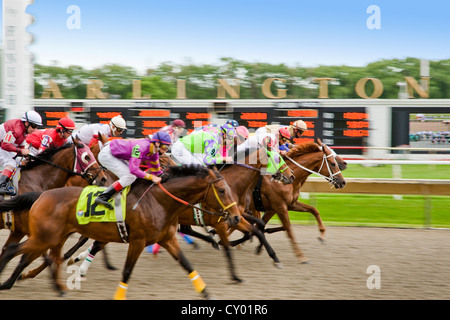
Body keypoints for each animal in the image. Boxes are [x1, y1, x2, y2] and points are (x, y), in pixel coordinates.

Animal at [0, 165, 243, 300]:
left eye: (229, 189)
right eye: (222, 190)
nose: (236, 217)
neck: (158, 201)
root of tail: (41, 195)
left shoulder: (167, 239)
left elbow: (187, 265)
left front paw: (206, 293)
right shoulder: (138, 241)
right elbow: (127, 271)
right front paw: (118, 295)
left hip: (52, 237)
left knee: (46, 257)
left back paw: (49, 284)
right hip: (44, 236)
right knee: (14, 251)